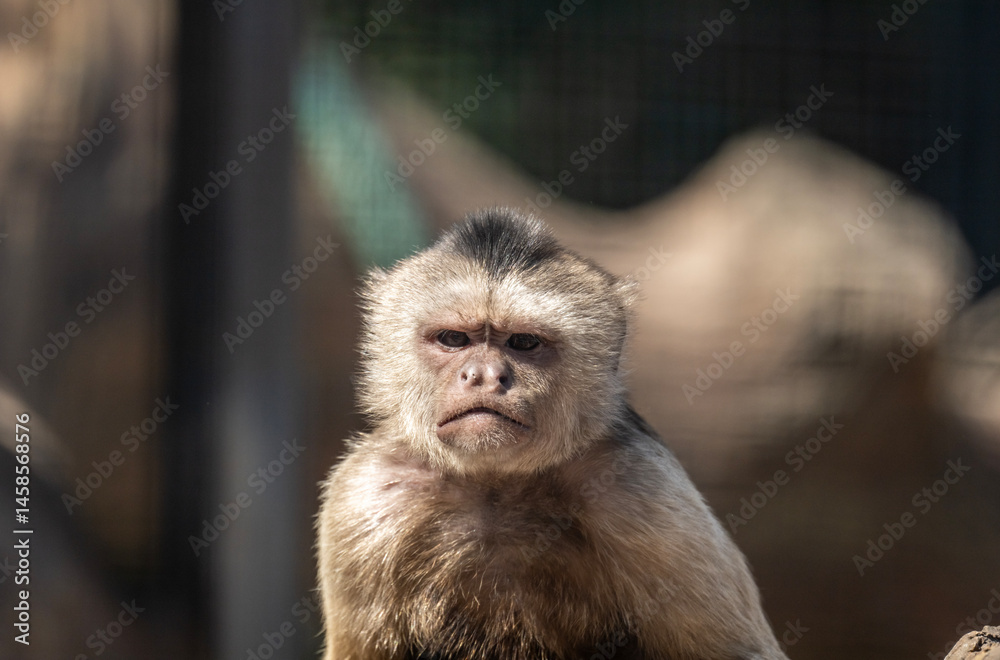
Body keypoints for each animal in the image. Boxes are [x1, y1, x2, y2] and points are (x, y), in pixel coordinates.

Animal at [316, 207, 788, 660]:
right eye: (453, 339)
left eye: (523, 343)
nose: (483, 376)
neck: (495, 486)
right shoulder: (364, 497)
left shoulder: (640, 485)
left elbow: (741, 652)